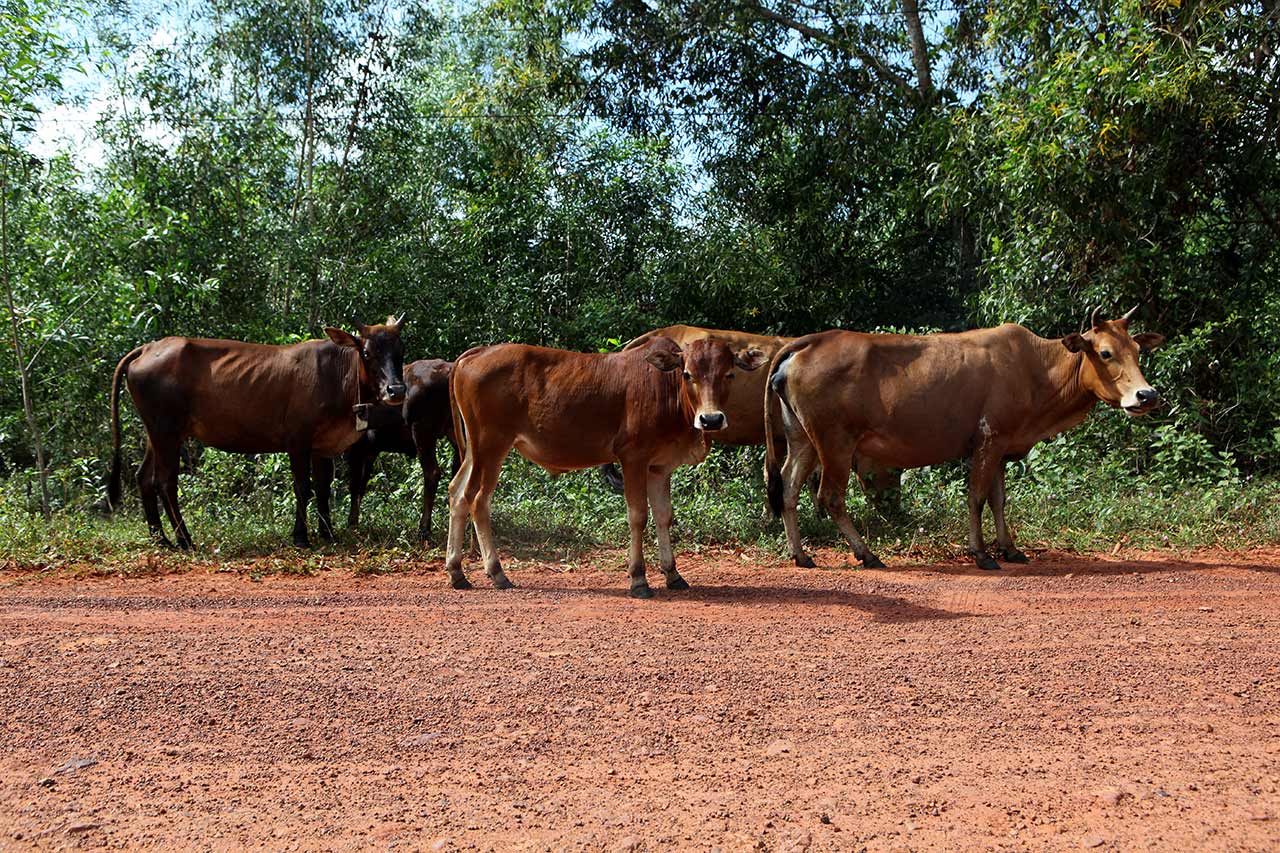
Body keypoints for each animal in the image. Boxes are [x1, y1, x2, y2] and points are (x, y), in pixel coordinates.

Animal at [107, 316, 407, 549]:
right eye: (367, 353)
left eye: (400, 351)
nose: (396, 390)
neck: (337, 376)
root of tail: (149, 347)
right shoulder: (297, 440)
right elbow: (303, 487)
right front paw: (301, 537)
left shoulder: (323, 445)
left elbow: (324, 487)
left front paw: (328, 534)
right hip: (166, 431)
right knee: (165, 482)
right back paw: (185, 540)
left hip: (156, 432)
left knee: (144, 478)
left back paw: (161, 539)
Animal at [339, 358, 459, 541]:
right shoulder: (371, 450)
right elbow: (361, 486)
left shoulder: (357, 449)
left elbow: (354, 485)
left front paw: (351, 523)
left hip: (422, 431)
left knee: (432, 473)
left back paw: (424, 529)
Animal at [444, 336, 767, 597]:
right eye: (687, 374)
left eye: (729, 373)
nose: (711, 419)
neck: (666, 389)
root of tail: (475, 353)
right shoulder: (633, 458)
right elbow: (638, 516)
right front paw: (639, 579)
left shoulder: (660, 467)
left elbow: (664, 516)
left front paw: (673, 574)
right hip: (491, 445)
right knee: (477, 499)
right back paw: (496, 572)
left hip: (475, 449)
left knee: (457, 493)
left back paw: (457, 571)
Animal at [764, 306, 1165, 570]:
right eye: (1105, 352)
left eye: (1138, 351)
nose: (1146, 395)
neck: (1038, 369)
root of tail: (807, 343)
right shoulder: (989, 439)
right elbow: (976, 497)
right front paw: (982, 553)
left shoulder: (1003, 446)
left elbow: (999, 501)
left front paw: (1009, 548)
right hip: (835, 444)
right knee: (830, 497)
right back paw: (867, 554)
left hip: (802, 440)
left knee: (787, 488)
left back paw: (800, 554)